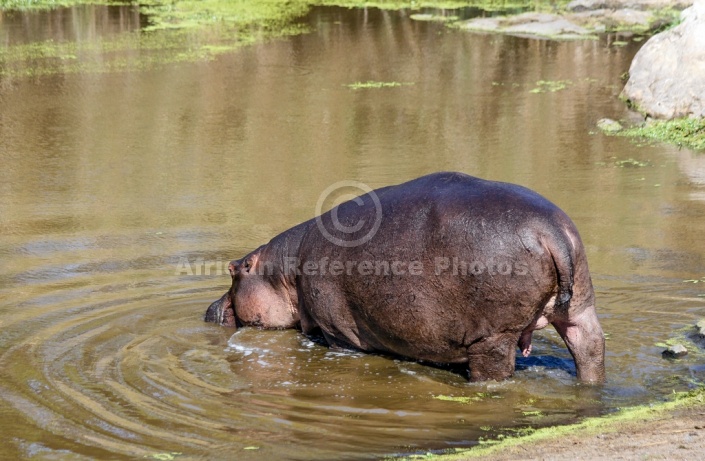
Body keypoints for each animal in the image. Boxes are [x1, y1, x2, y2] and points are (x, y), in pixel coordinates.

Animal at [204, 172, 604, 380]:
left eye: (234, 271)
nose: (208, 309)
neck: (286, 270)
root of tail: (549, 230)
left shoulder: (337, 333)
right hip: (580, 308)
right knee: (590, 349)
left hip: (492, 336)